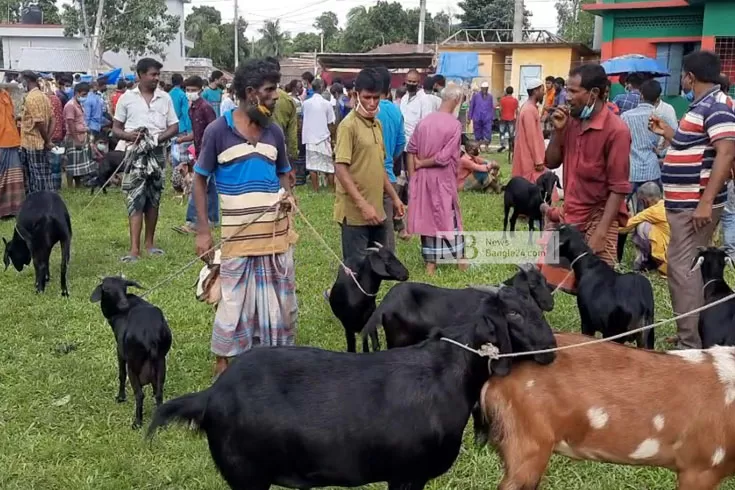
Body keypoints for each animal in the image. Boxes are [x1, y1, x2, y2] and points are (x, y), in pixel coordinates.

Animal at [90, 278, 172, 426]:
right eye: (108, 289)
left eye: (123, 287)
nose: (123, 304)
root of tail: (150, 335)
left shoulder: (120, 351)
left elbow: (121, 375)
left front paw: (120, 397)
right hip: (160, 361)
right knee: (158, 392)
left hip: (133, 366)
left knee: (139, 394)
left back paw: (137, 422)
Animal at [147, 290, 556, 490]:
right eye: (514, 315)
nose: (551, 350)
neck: (447, 373)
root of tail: (209, 397)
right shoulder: (407, 475)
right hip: (247, 476)